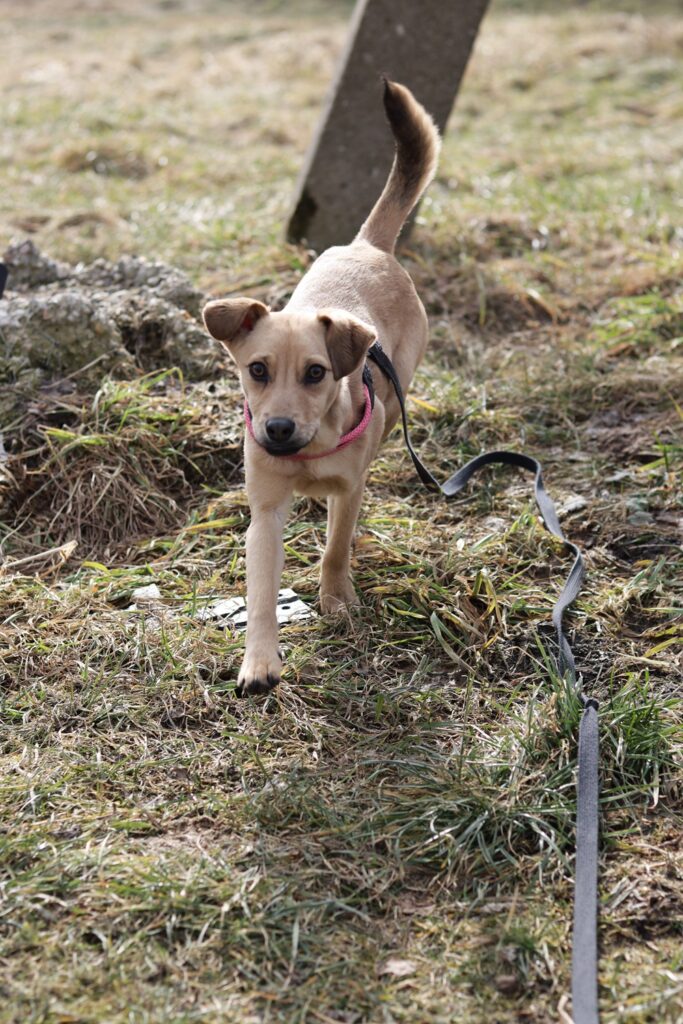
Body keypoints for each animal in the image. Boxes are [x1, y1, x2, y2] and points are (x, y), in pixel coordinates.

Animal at [202, 79, 440, 696]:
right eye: (257, 370)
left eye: (316, 373)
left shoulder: (349, 489)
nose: (278, 428)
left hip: (398, 392)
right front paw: (259, 661)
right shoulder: (264, 511)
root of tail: (367, 246)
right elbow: (261, 591)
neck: (307, 452)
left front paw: (335, 598)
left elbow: (335, 546)